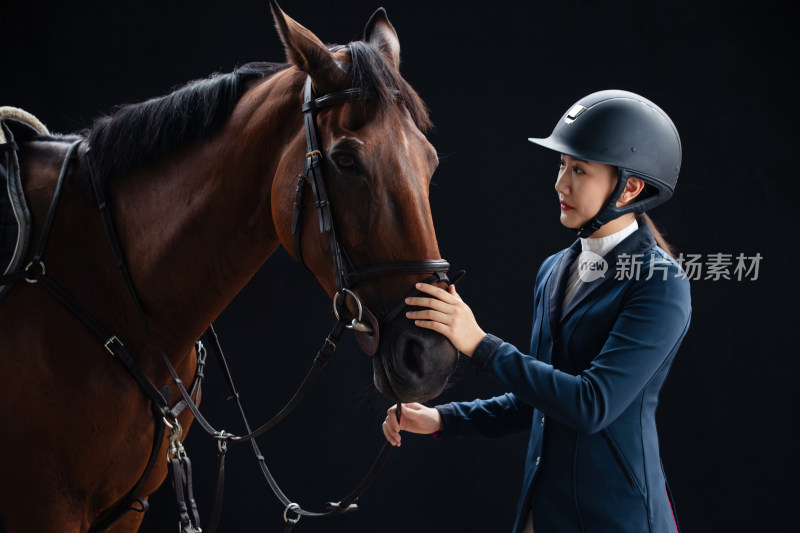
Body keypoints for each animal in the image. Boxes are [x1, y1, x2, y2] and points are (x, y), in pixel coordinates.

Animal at [0, 4, 460, 532]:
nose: (431, 355)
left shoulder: (127, 510)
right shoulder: (42, 505)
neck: (102, 277)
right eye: (345, 160)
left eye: (429, 161)